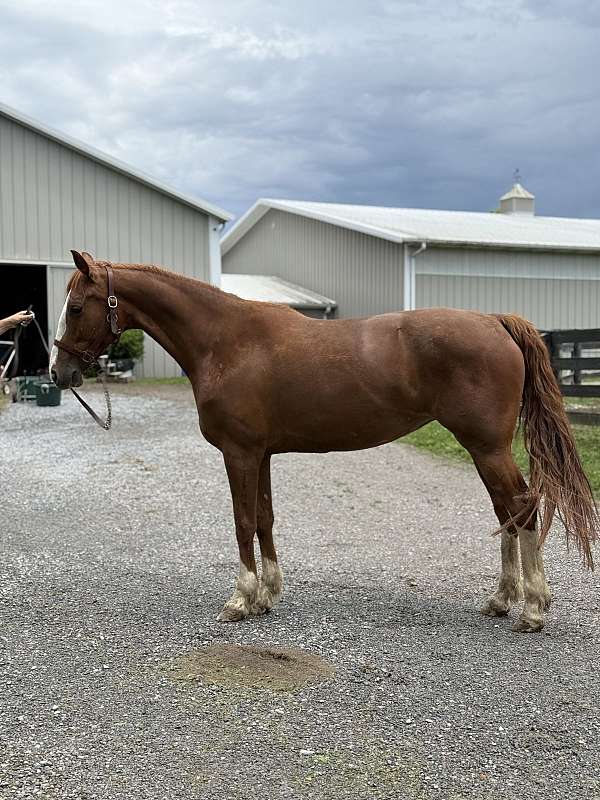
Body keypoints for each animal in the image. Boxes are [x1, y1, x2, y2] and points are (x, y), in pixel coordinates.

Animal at [50, 251, 598, 633]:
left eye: (75, 307)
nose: (59, 372)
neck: (226, 341)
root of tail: (494, 321)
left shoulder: (239, 454)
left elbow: (243, 522)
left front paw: (240, 599)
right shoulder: (261, 454)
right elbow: (264, 519)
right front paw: (268, 595)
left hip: (487, 448)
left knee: (521, 508)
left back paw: (532, 609)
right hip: (484, 449)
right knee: (508, 513)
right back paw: (502, 600)